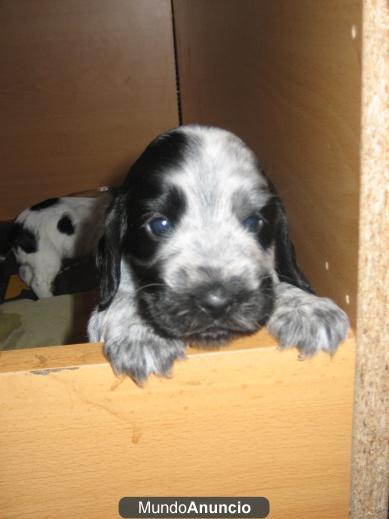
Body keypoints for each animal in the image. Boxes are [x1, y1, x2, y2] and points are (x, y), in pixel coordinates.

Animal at [88, 127, 348, 382]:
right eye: (159, 225)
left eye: (254, 222)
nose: (217, 302)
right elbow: (122, 293)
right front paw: (142, 333)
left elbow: (274, 280)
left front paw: (307, 308)